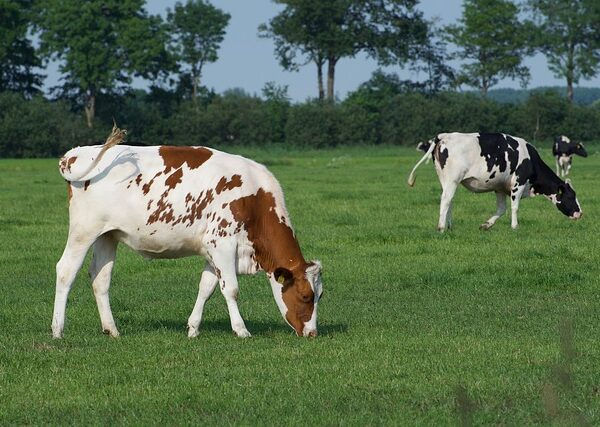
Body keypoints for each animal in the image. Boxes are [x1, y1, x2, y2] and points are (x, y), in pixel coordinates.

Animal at [52, 125, 324, 340]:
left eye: (319, 296)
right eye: (305, 296)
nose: (312, 333)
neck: (254, 199)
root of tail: (75, 154)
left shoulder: (212, 251)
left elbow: (206, 288)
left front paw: (193, 328)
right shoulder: (222, 243)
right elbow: (231, 289)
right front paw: (241, 330)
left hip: (107, 234)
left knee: (100, 278)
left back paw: (112, 330)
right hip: (84, 230)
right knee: (66, 270)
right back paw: (57, 330)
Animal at [408, 132, 580, 232]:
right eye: (571, 196)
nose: (580, 213)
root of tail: (445, 135)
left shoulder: (500, 188)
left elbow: (502, 209)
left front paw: (486, 225)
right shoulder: (518, 183)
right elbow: (515, 207)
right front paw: (515, 226)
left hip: (444, 179)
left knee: (449, 199)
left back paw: (449, 226)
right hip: (452, 179)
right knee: (445, 199)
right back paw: (442, 227)